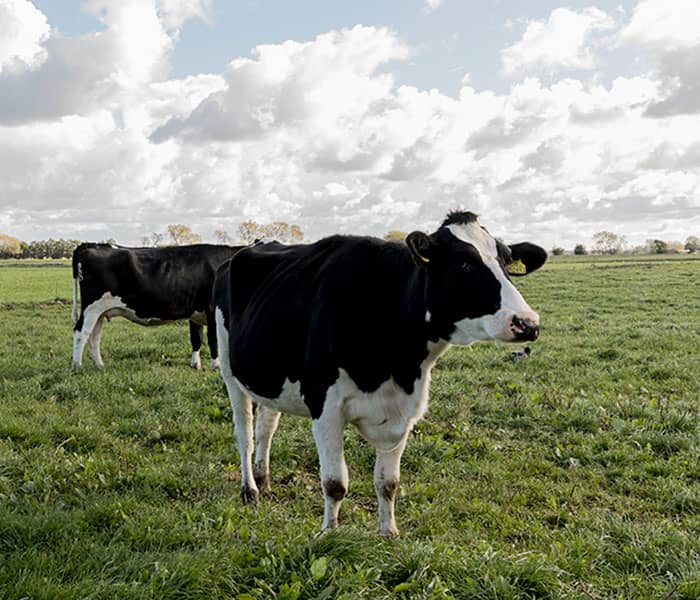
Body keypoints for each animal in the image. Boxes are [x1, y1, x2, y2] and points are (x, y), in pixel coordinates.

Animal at [72, 243, 242, 370]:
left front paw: (195, 364)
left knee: (94, 336)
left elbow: (196, 338)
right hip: (91, 308)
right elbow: (214, 340)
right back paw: (77, 366)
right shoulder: (211, 309)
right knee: (81, 333)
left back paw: (99, 365)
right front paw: (217, 366)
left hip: (99, 311)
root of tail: (93, 245)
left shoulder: (196, 313)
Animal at [213, 211, 547, 535]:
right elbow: (335, 483)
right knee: (245, 433)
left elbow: (388, 483)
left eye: (506, 261)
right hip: (230, 369)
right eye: (464, 263)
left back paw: (264, 479)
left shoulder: (404, 411)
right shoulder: (325, 405)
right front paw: (329, 533)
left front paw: (388, 533)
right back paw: (250, 489)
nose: (527, 323)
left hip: (269, 376)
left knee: (266, 428)